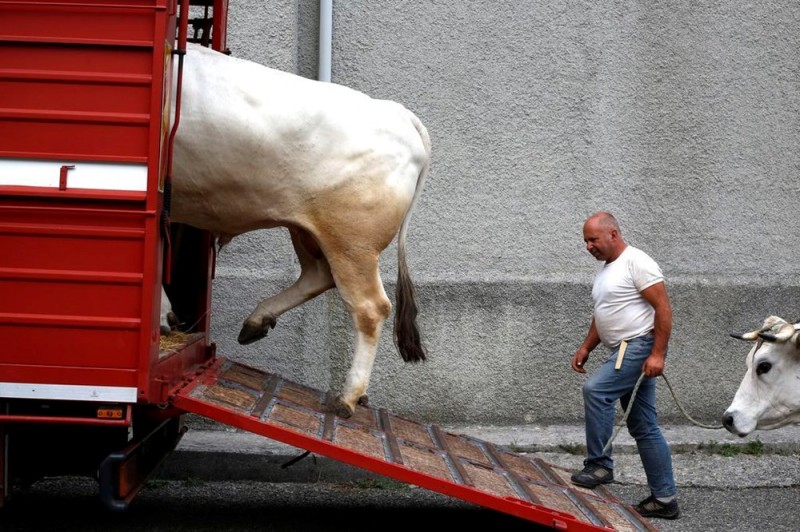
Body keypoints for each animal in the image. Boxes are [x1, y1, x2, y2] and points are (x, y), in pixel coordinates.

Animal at [163, 44, 434, 420]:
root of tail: (398, 113)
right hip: (306, 229)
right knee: (317, 276)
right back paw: (256, 322)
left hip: (352, 242)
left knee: (371, 307)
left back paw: (347, 397)